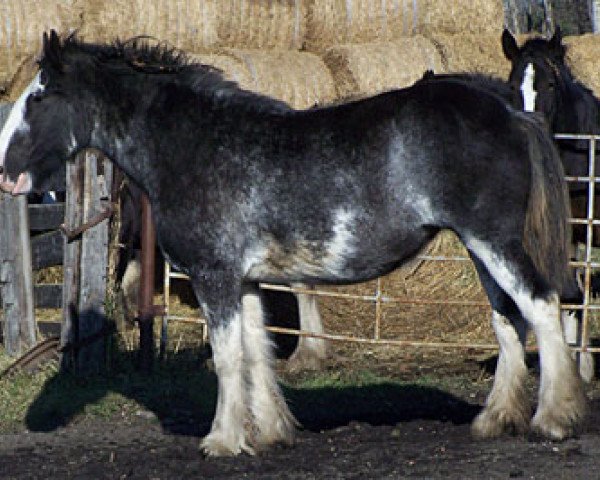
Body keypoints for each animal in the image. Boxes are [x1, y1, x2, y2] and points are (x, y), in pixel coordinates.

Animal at [0, 31, 588, 456]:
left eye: (40, 95)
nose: (8, 175)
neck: (195, 144)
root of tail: (511, 110)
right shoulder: (246, 281)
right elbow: (257, 353)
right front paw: (268, 433)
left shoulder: (215, 277)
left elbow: (228, 359)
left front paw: (221, 441)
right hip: (480, 249)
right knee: (509, 322)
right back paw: (495, 420)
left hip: (496, 242)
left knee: (542, 308)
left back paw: (555, 420)